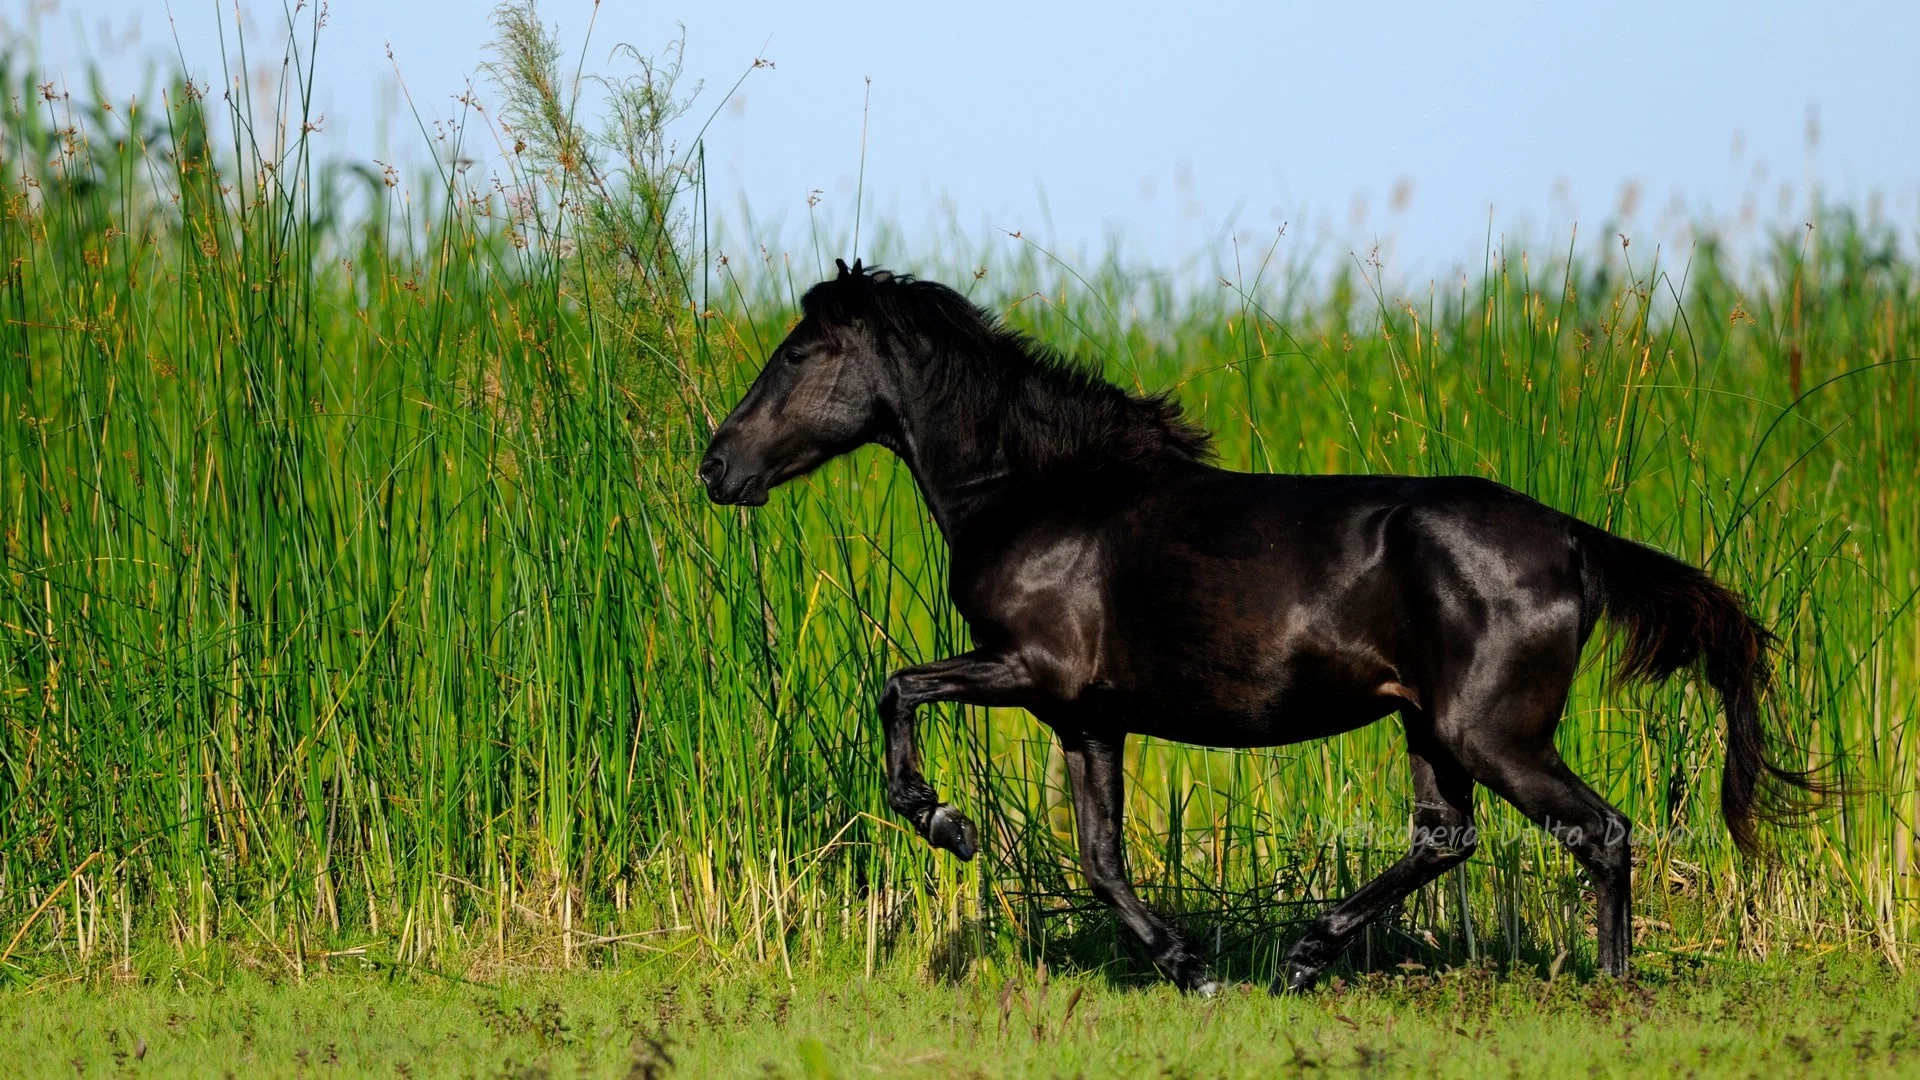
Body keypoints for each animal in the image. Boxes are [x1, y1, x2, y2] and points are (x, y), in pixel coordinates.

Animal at [698, 255, 1820, 991]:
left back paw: (1610, 984)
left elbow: (896, 688)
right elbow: (1101, 858)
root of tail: (1573, 541)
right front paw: (1187, 965)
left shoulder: (1028, 668)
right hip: (1430, 728)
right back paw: (1305, 956)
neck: (1039, 493)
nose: (717, 465)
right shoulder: (1087, 716)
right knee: (1446, 838)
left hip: (1492, 732)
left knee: (1600, 830)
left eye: (799, 353)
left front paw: (948, 822)